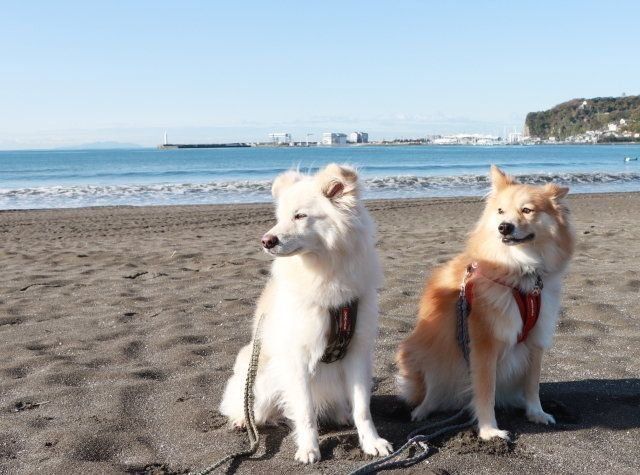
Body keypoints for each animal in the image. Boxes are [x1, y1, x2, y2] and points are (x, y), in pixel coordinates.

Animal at [219, 164, 392, 463]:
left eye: (300, 215)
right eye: (279, 218)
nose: (266, 241)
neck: (325, 273)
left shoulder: (358, 352)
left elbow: (362, 409)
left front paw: (372, 442)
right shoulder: (297, 358)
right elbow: (306, 411)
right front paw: (309, 448)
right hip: (261, 381)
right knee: (247, 405)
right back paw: (242, 419)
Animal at [396, 165, 574, 440]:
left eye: (527, 210)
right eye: (500, 211)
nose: (504, 227)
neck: (519, 271)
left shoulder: (536, 340)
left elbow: (533, 384)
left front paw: (536, 412)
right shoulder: (484, 345)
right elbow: (485, 391)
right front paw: (490, 430)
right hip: (424, 352)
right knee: (432, 390)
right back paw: (422, 412)